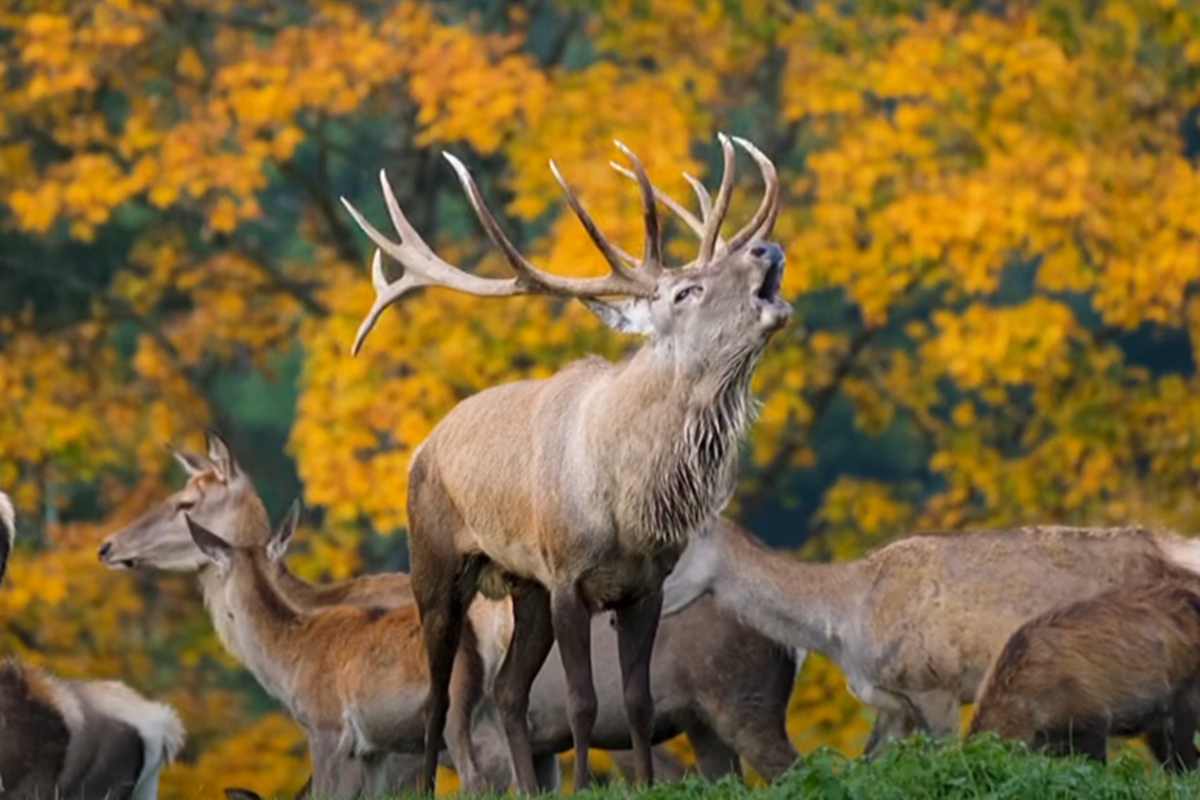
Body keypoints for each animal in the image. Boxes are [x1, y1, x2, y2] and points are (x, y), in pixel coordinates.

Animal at [340, 134, 787, 791]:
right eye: (687, 291)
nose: (767, 248)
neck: (627, 502)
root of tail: (425, 444)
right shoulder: (568, 578)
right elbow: (583, 702)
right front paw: (581, 786)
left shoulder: (645, 584)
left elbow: (637, 700)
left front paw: (646, 785)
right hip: (436, 563)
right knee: (439, 697)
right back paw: (426, 787)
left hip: (523, 586)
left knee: (508, 691)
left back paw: (529, 789)